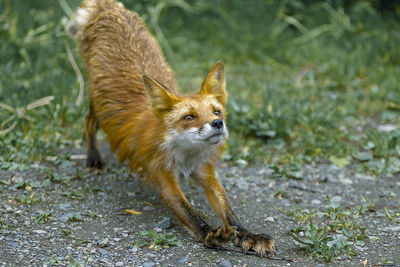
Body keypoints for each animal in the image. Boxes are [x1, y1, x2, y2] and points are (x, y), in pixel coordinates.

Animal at [68, 0, 276, 256]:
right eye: (189, 117)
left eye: (216, 112)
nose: (218, 124)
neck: (186, 154)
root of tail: (109, 8)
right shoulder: (163, 176)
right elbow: (189, 212)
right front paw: (211, 234)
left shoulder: (205, 171)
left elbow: (229, 211)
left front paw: (248, 234)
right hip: (100, 107)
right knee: (87, 122)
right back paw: (94, 159)